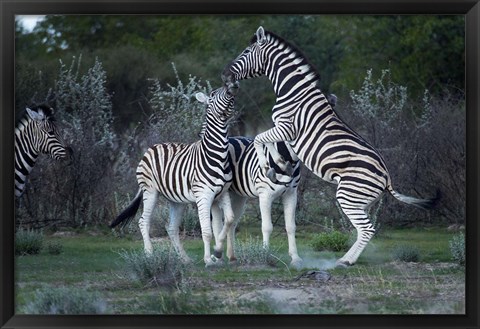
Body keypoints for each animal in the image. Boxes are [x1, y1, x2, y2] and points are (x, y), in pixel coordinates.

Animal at [111, 82, 240, 266]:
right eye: (213, 94)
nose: (232, 85)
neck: (218, 154)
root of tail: (152, 147)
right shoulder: (203, 195)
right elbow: (207, 231)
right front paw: (208, 259)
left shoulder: (222, 194)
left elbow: (229, 220)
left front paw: (217, 251)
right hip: (150, 191)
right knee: (143, 221)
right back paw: (149, 255)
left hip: (176, 200)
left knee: (171, 228)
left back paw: (184, 258)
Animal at [221, 25, 438, 266]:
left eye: (245, 52)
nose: (225, 75)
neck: (293, 91)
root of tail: (387, 176)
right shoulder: (285, 132)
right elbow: (263, 140)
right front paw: (275, 164)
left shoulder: (287, 127)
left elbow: (260, 137)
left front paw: (271, 163)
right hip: (361, 200)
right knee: (363, 229)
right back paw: (346, 258)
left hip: (348, 195)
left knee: (367, 229)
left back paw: (345, 260)